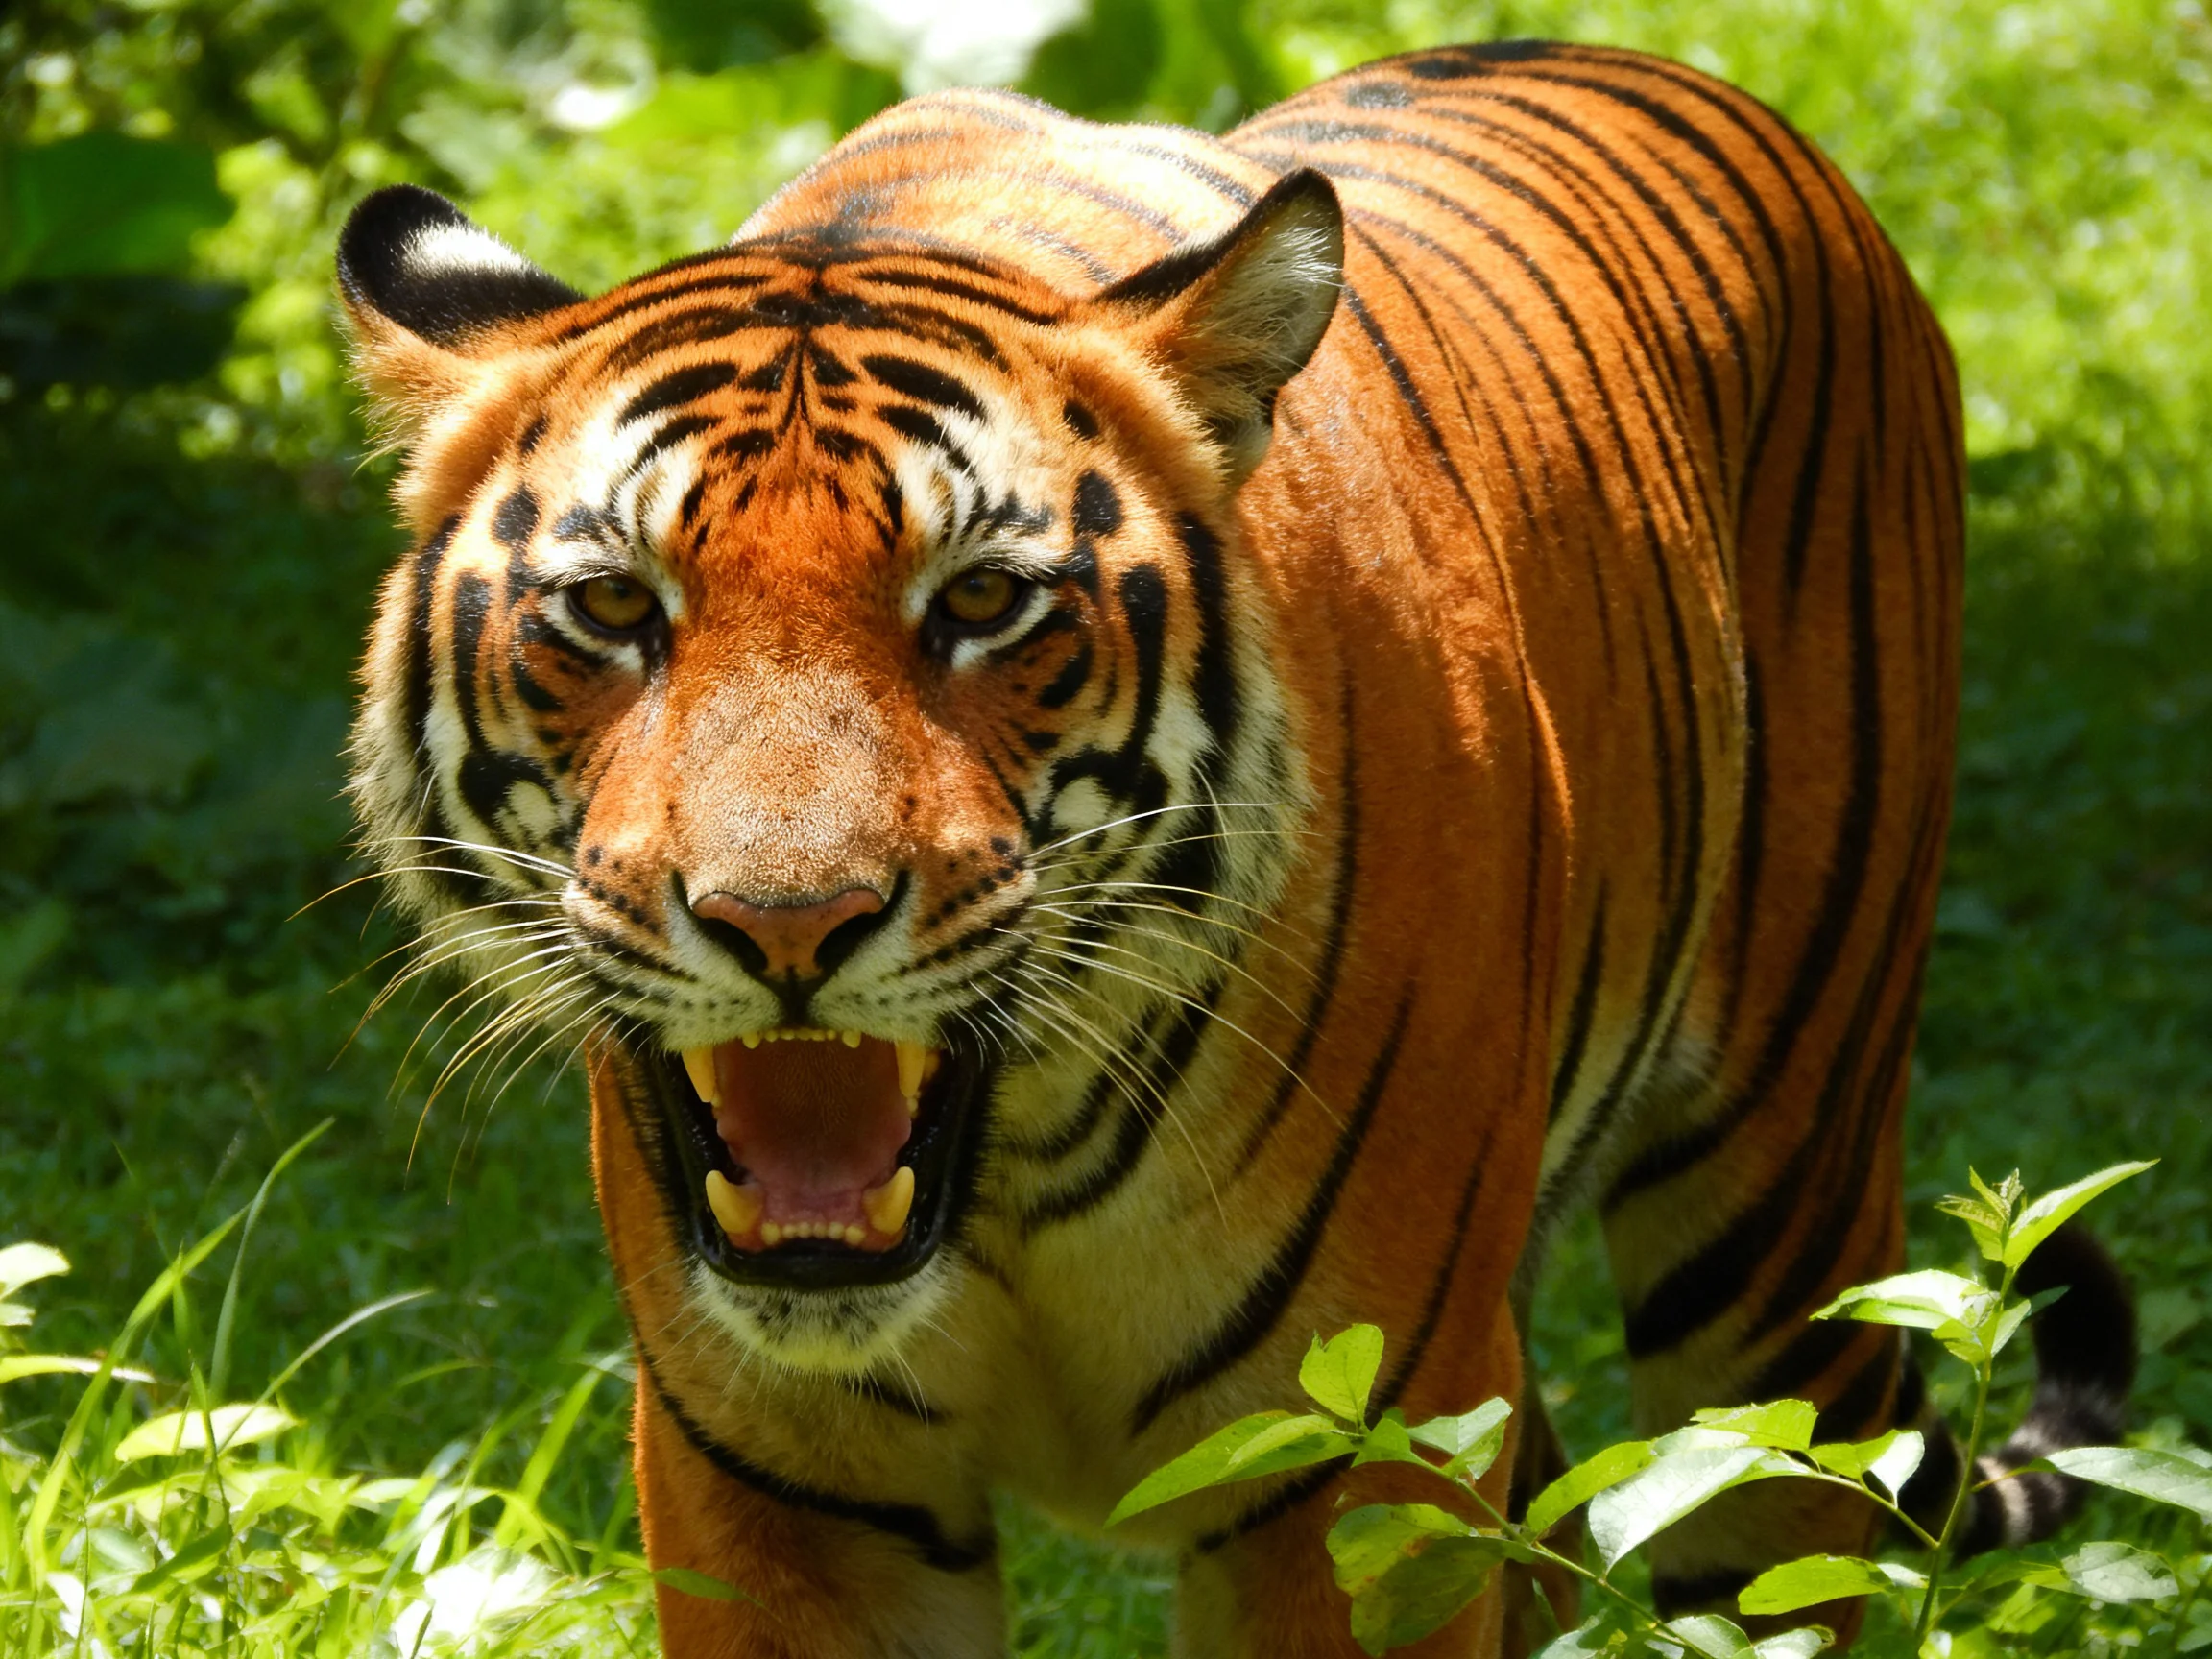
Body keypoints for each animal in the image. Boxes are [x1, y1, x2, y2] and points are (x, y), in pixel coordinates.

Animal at [337, 39, 2133, 1658]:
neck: (1008, 1182)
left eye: (981, 601)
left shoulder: (1356, 1458)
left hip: (1782, 1236)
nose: (788, 925)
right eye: (612, 609)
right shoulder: (778, 1481)